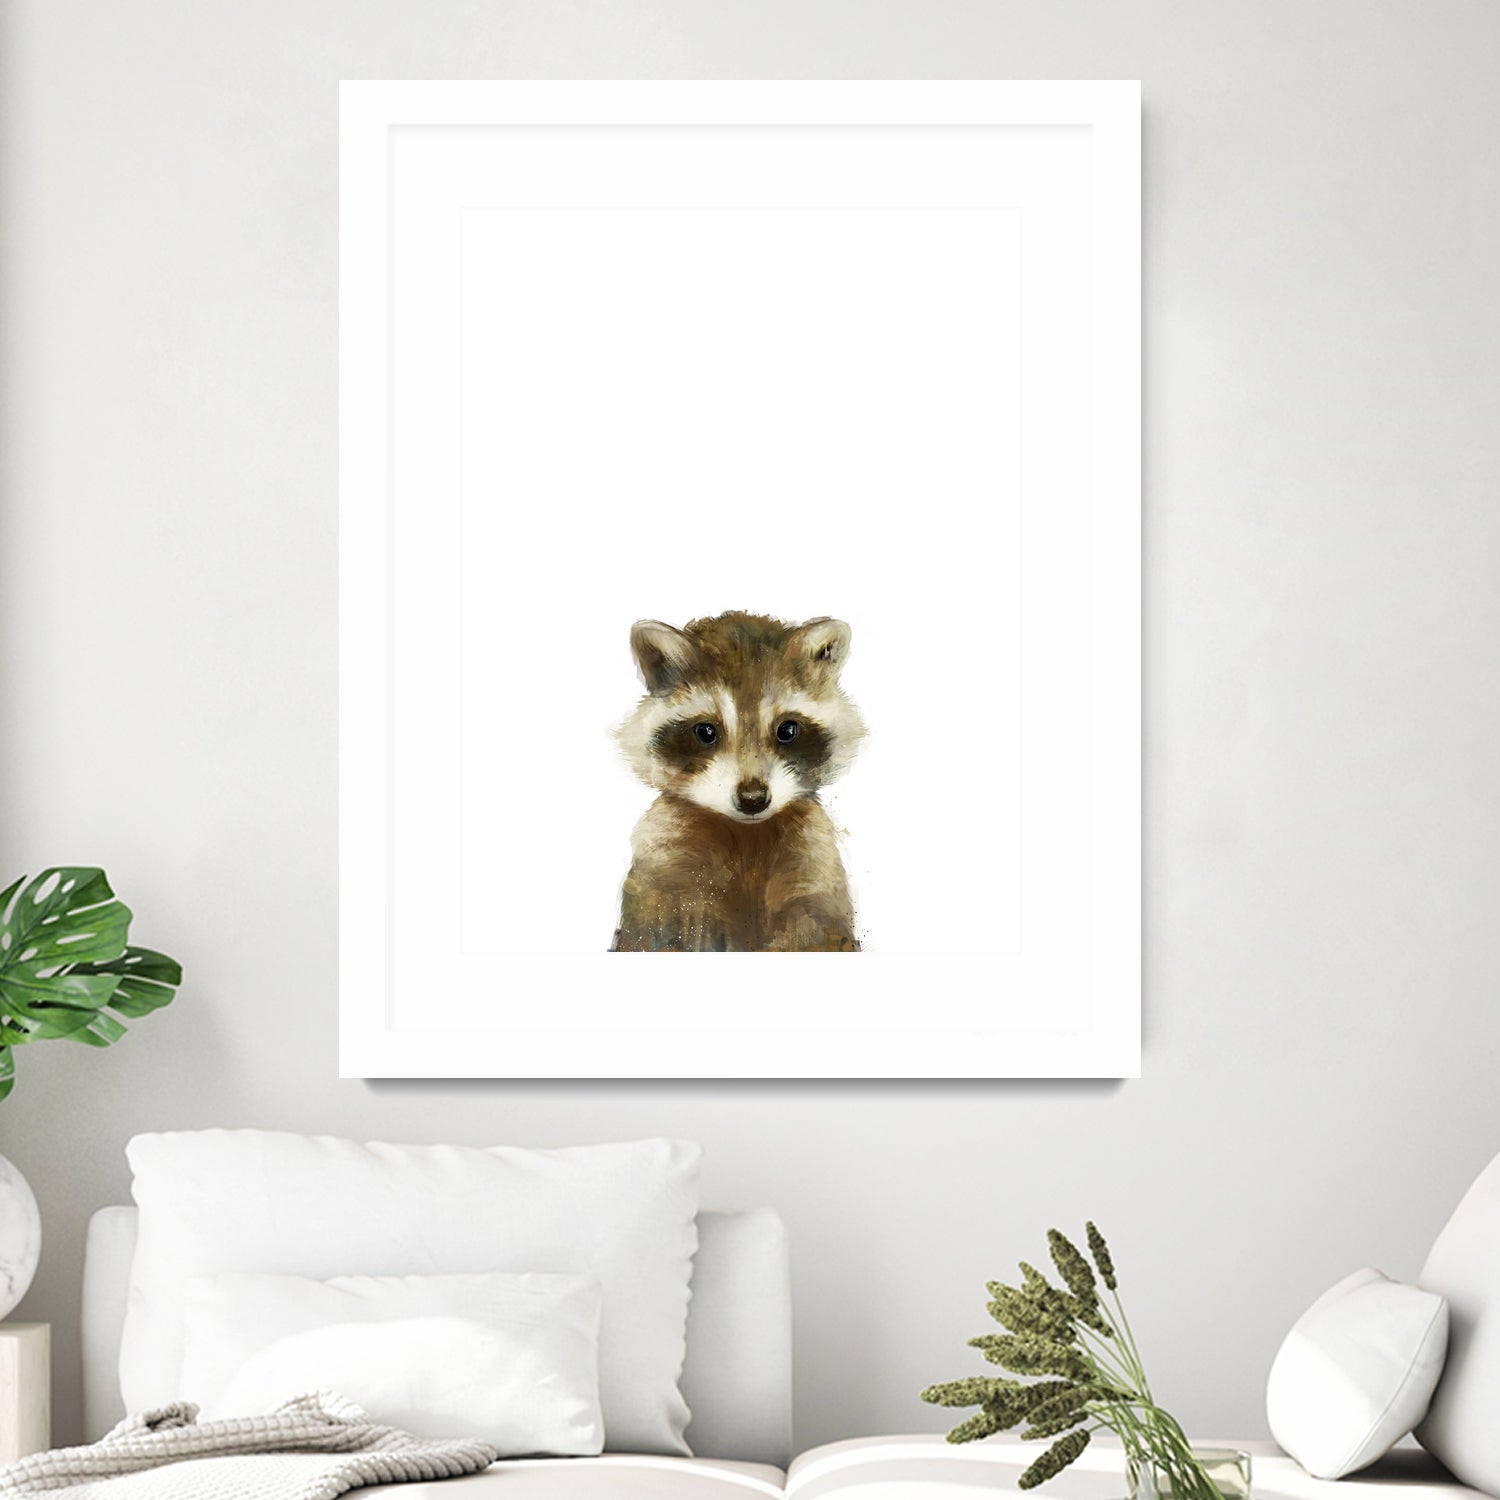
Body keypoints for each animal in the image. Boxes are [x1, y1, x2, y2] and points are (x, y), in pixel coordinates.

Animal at [612, 611, 866, 952]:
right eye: (706, 732)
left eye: (787, 730)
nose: (752, 799)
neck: (747, 835)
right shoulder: (664, 866)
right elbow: (658, 932)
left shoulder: (814, 864)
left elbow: (816, 931)